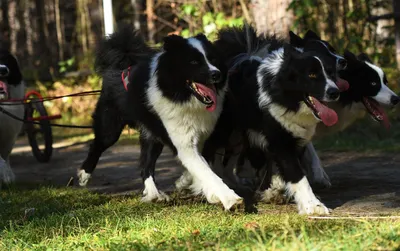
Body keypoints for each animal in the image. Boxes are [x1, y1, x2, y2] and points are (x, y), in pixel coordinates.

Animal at [76, 25, 242, 210]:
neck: (179, 95)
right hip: (111, 126)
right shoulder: (182, 141)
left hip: (151, 135)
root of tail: (121, 61)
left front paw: (192, 185)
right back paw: (83, 175)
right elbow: (205, 171)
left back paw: (154, 194)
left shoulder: (202, 138)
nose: (216, 74)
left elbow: (200, 167)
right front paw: (229, 198)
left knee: (145, 165)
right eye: (193, 62)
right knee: (97, 144)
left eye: (213, 59)